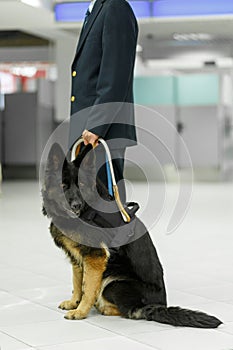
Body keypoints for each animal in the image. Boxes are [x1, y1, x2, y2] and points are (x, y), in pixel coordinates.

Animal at [41, 142, 222, 328]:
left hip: (114, 283)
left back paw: (103, 307)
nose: (76, 206)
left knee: (131, 311)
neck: (87, 210)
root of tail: (156, 306)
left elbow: (88, 288)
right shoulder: (78, 258)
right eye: (63, 186)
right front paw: (74, 302)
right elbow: (78, 282)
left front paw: (81, 311)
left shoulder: (95, 258)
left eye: (82, 186)